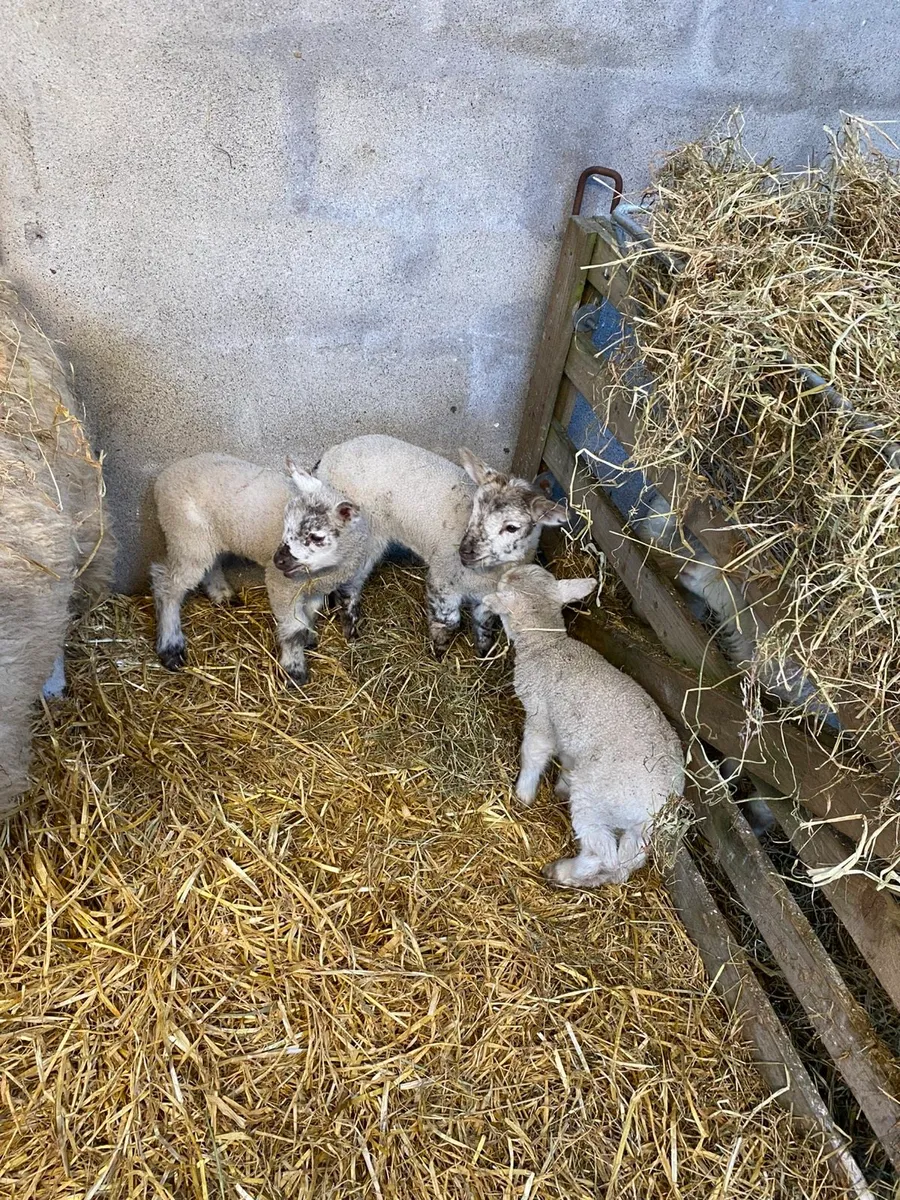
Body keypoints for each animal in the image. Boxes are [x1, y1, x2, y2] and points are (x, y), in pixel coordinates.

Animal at [151, 453, 371, 685]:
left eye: (316, 537)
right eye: (285, 525)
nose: (278, 560)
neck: (325, 572)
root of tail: (163, 478)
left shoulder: (317, 587)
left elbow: (310, 613)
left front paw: (310, 639)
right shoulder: (282, 585)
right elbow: (295, 629)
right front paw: (294, 671)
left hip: (208, 537)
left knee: (211, 565)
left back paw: (223, 595)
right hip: (186, 535)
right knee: (167, 585)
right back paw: (171, 648)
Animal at [315, 434, 568, 657]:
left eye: (512, 527)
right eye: (475, 507)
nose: (465, 551)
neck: (487, 573)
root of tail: (329, 455)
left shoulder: (486, 594)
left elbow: (485, 623)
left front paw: (484, 652)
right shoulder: (443, 579)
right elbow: (449, 621)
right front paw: (438, 650)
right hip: (363, 535)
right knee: (348, 582)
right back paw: (351, 627)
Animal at [482, 564, 685, 887]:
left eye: (504, 585)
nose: (507, 569)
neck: (545, 645)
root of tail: (660, 804)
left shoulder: (541, 716)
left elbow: (533, 754)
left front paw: (523, 794)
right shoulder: (569, 733)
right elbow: (566, 759)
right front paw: (560, 787)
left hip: (596, 798)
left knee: (602, 852)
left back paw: (563, 871)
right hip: (637, 830)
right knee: (625, 863)